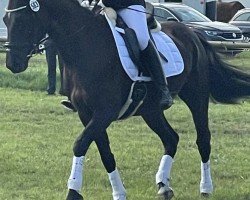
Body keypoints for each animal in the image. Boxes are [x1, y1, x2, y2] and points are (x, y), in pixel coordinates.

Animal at [3, 0, 250, 200]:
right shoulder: (87, 114)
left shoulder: (105, 113)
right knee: (171, 138)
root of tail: (192, 33)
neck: (86, 46)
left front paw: (73, 191)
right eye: (5, 19)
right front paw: (118, 192)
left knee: (203, 139)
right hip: (151, 110)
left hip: (196, 97)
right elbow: (105, 153)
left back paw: (206, 188)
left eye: (23, 20)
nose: (13, 64)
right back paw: (163, 186)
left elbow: (80, 144)